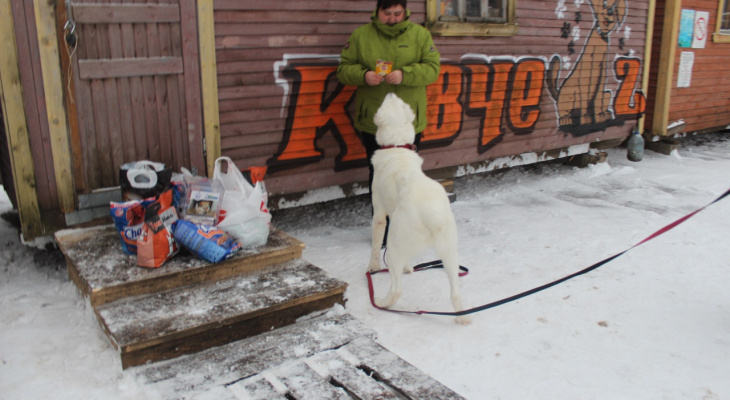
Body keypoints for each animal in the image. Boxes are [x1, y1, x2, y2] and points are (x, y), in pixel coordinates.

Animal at [366, 93, 470, 324]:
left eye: (386, 103)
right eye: (400, 103)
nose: (390, 92)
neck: (396, 147)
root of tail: (432, 213)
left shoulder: (379, 214)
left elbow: (375, 246)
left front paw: (373, 268)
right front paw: (408, 268)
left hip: (394, 246)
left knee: (396, 289)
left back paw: (382, 303)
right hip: (450, 253)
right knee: (456, 292)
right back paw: (461, 316)